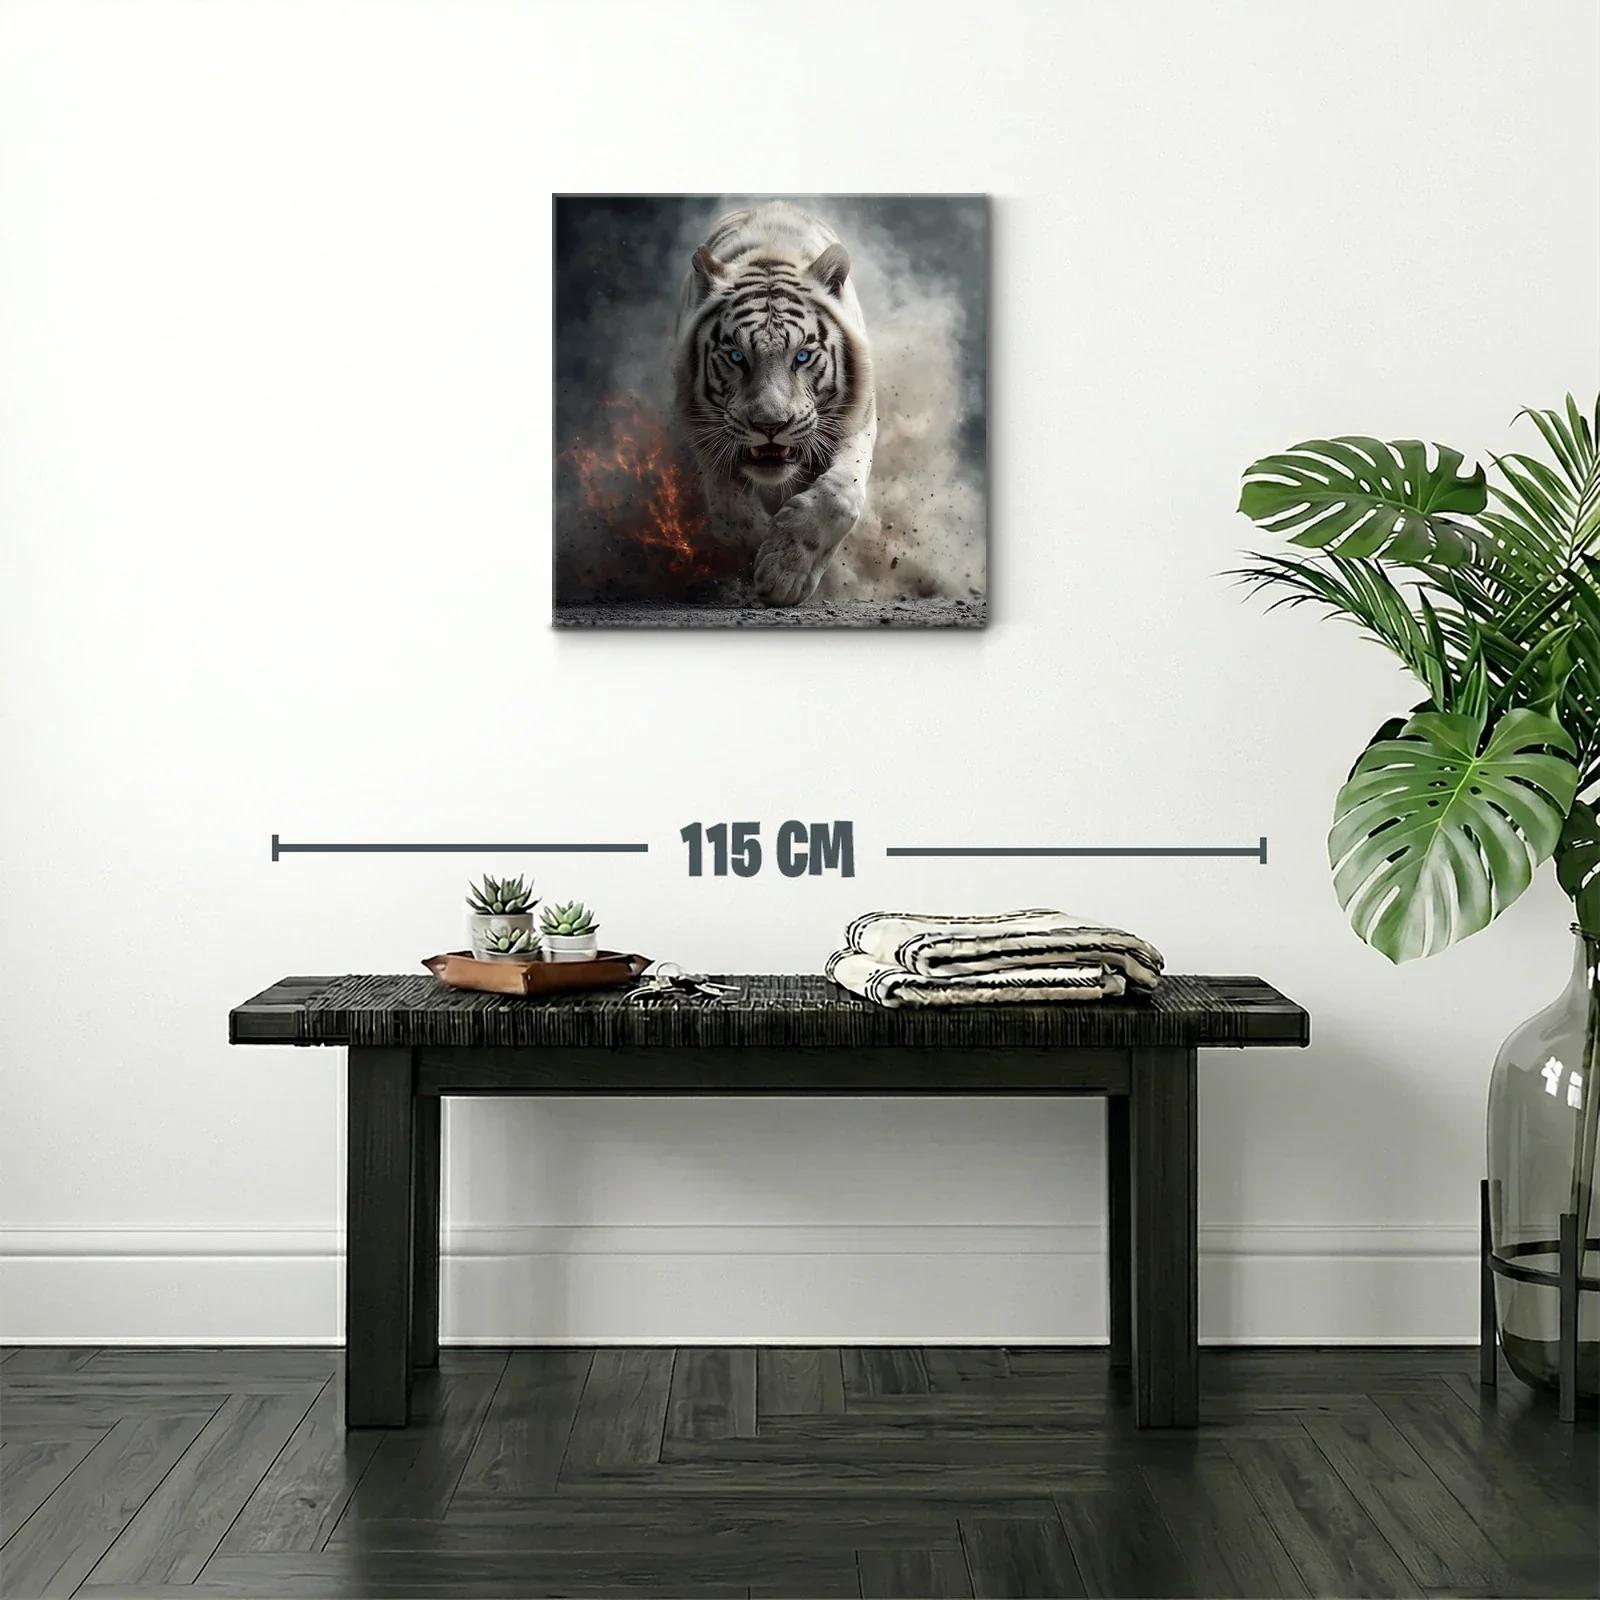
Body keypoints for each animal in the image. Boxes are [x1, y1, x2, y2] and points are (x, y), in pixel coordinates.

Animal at [673, 203, 877, 606]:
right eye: (736, 356)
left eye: (802, 356)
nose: (770, 426)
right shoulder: (704, 435)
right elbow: (730, 514)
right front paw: (765, 558)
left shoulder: (858, 420)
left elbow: (840, 496)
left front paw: (785, 573)